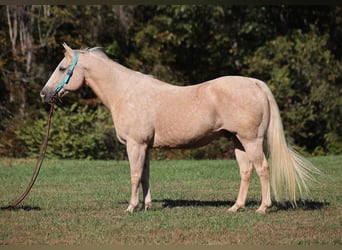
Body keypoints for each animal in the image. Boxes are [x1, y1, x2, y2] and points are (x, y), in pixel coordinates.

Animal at [40, 43, 318, 213]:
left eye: (62, 68)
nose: (44, 94)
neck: (126, 93)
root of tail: (255, 83)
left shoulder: (135, 145)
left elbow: (134, 175)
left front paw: (131, 207)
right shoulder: (146, 146)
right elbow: (145, 175)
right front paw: (147, 206)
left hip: (251, 140)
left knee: (262, 169)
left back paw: (263, 207)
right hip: (237, 141)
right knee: (246, 171)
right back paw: (236, 207)